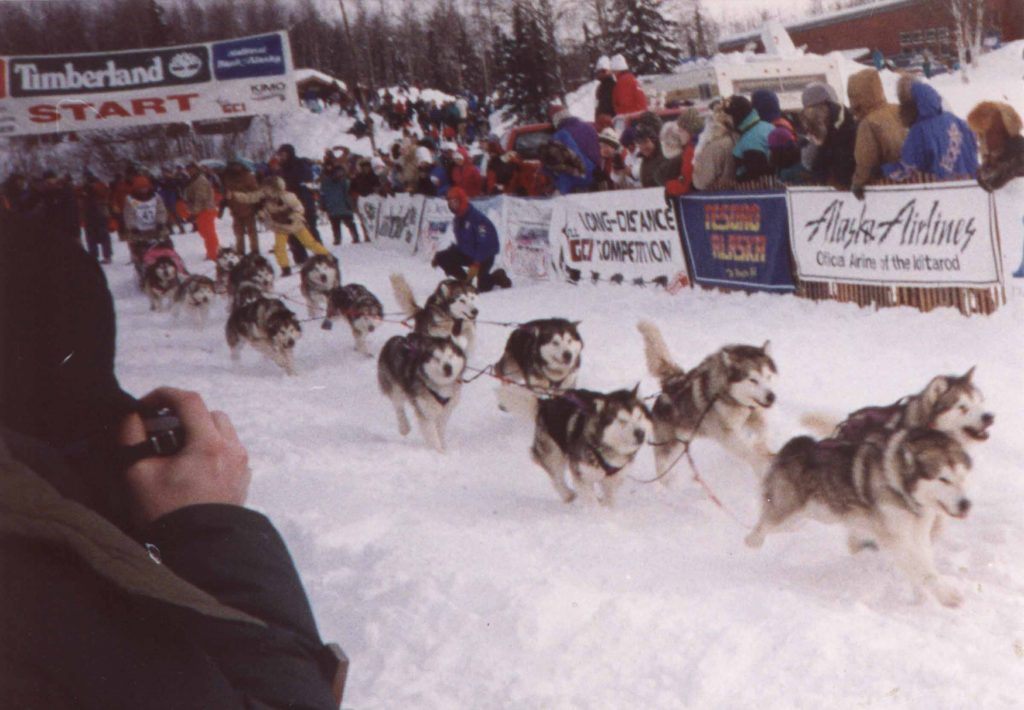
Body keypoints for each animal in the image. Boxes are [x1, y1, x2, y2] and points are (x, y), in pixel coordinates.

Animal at [499, 385, 651, 506]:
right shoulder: (582, 477)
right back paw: (568, 495)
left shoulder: (614, 480)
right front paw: (599, 517)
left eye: (639, 417)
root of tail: (546, 403)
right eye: (622, 421)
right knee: (556, 476)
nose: (640, 433)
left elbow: (609, 499)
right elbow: (591, 501)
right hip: (552, 452)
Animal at [638, 317, 774, 479]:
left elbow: (762, 434)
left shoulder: (756, 416)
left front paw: (762, 449)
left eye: (768, 376)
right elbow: (749, 453)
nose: (771, 397)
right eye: (753, 380)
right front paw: (761, 465)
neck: (735, 400)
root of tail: (671, 383)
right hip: (668, 448)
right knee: (663, 469)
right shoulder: (726, 434)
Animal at [745, 426, 974, 610]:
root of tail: (792, 447)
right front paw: (947, 596)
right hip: (785, 516)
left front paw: (921, 597)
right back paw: (751, 546)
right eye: (943, 479)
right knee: (758, 530)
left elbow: (923, 566)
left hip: (805, 519)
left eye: (962, 477)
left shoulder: (919, 534)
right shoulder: (895, 539)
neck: (900, 488)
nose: (966, 504)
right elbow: (924, 570)